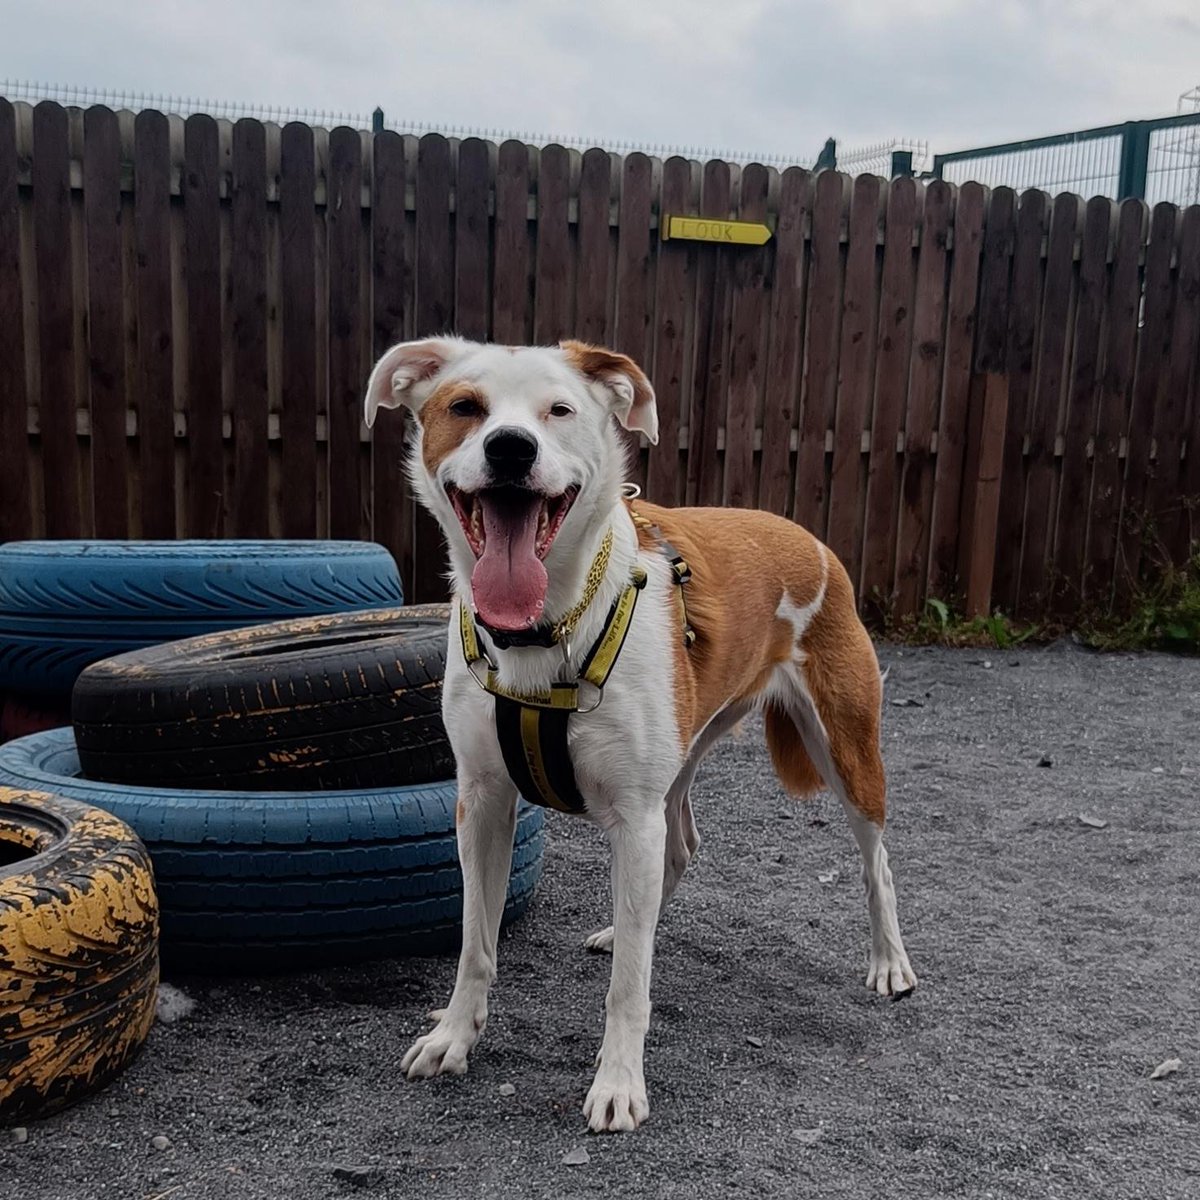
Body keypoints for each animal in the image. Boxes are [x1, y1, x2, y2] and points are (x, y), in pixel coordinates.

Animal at [360, 338, 912, 1132]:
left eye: (559, 410)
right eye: (465, 407)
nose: (510, 448)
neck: (545, 629)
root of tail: (803, 535)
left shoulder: (630, 813)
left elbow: (628, 988)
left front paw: (618, 1083)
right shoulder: (484, 803)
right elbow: (475, 943)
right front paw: (454, 1036)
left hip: (845, 747)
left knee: (877, 863)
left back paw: (890, 962)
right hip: (679, 763)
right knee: (678, 850)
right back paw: (624, 928)